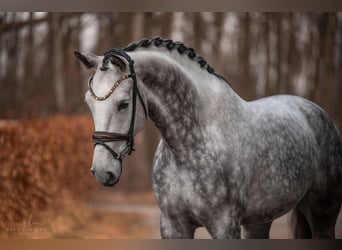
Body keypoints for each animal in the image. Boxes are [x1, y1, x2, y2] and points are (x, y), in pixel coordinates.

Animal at [75, 36, 342, 238]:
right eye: (88, 103)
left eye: (123, 103)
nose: (102, 171)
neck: (189, 147)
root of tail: (317, 112)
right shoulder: (173, 226)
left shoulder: (224, 226)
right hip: (260, 220)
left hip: (323, 214)